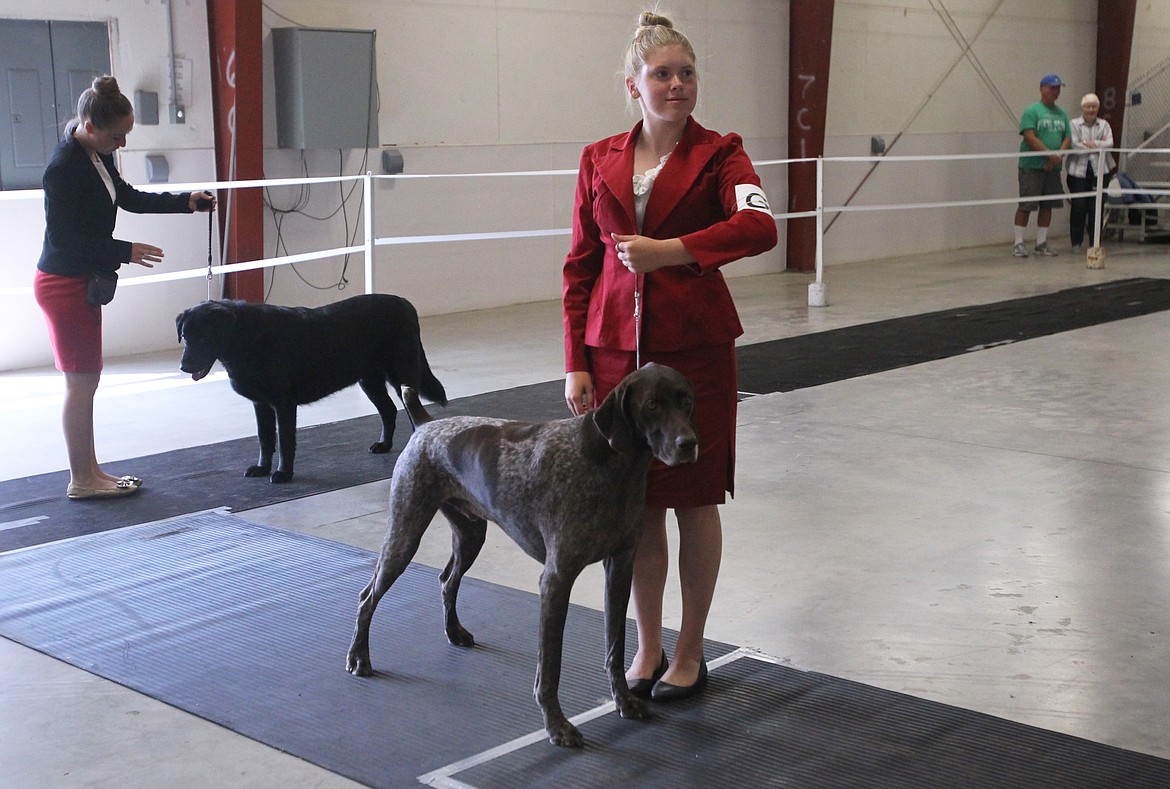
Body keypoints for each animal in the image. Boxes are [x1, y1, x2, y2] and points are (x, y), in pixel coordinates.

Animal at [175, 293, 444, 479]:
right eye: (185, 336)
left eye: (204, 338)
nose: (184, 366)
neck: (248, 339)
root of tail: (406, 304)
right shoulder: (261, 404)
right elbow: (264, 438)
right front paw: (262, 468)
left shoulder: (283, 403)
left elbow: (285, 441)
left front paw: (283, 473)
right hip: (369, 379)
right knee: (388, 411)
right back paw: (384, 445)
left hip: (401, 376)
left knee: (411, 412)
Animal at [343, 362, 692, 744]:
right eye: (653, 405)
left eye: (685, 400)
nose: (689, 444)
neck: (612, 466)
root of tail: (425, 424)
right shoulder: (556, 579)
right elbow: (551, 666)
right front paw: (557, 725)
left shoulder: (620, 567)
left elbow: (615, 646)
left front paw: (624, 701)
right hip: (404, 535)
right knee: (367, 596)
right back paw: (359, 657)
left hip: (470, 535)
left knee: (447, 580)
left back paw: (454, 632)